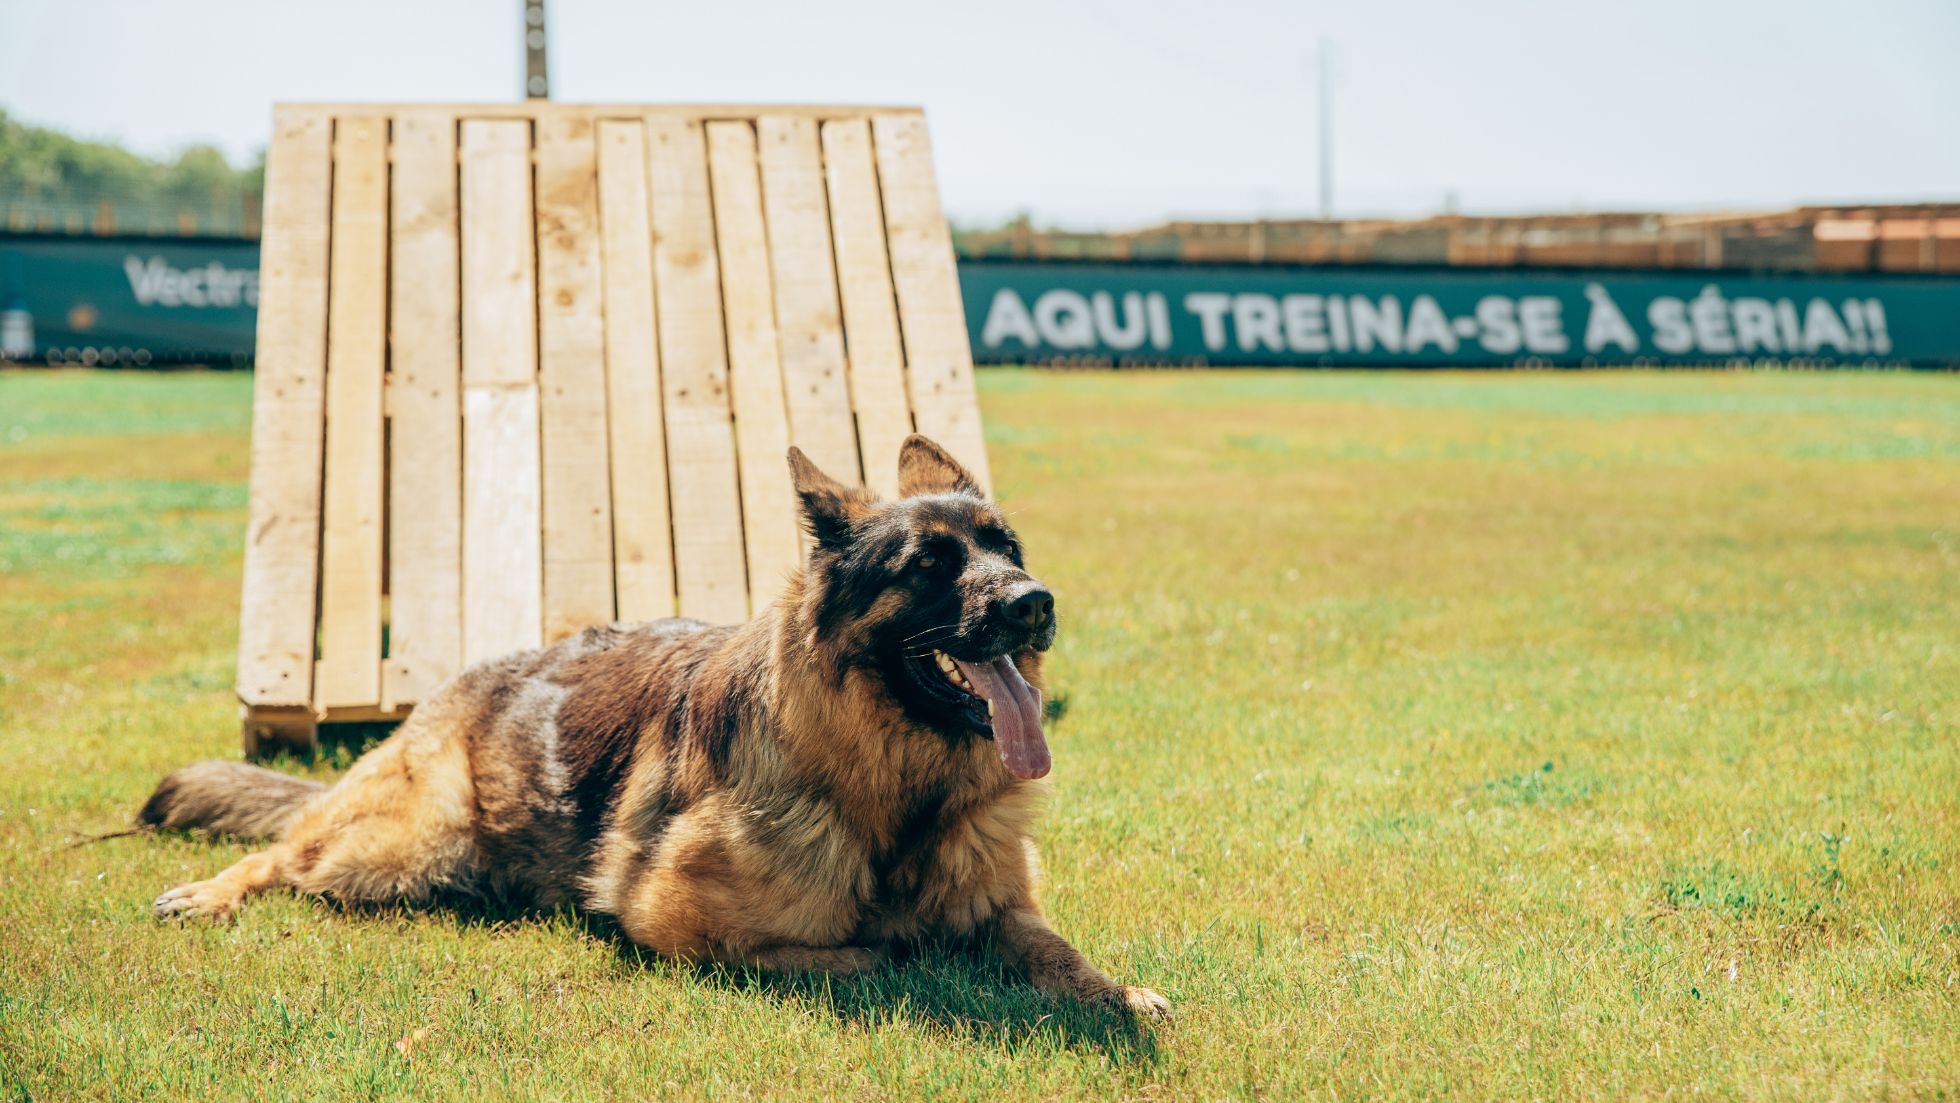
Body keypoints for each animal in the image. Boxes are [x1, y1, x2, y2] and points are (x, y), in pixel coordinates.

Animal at [148, 438, 1176, 1018]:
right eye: (927, 565)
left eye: (1007, 548)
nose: (1036, 604)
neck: (894, 796)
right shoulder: (677, 920)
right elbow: (876, 956)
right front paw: (921, 957)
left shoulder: (1006, 907)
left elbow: (1053, 948)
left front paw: (1117, 993)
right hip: (402, 840)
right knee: (284, 850)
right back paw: (209, 893)